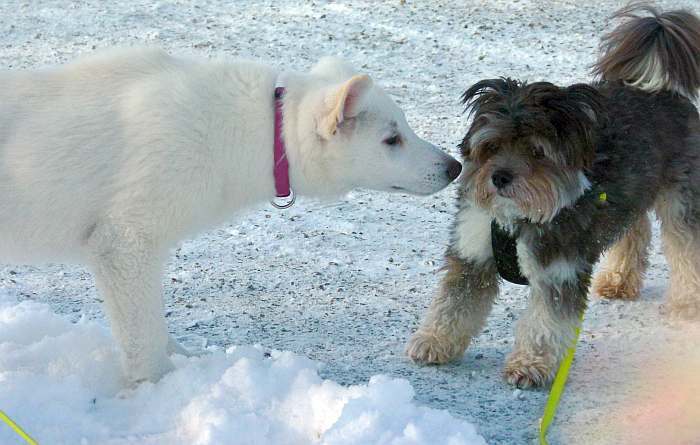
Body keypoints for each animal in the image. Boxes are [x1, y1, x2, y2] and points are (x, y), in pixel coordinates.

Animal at [0, 47, 462, 382]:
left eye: (403, 128)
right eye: (392, 139)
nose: (455, 167)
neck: (261, 131)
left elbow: (153, 327)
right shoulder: (125, 244)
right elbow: (143, 339)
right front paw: (158, 387)